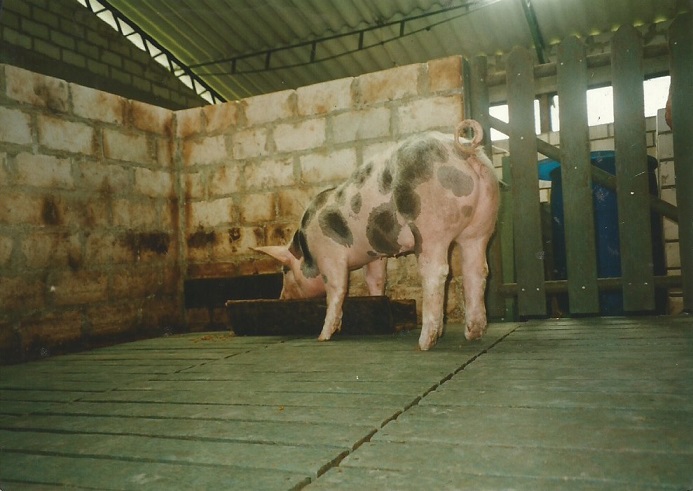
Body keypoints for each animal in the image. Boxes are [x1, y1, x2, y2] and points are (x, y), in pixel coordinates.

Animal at [254, 118, 498, 350]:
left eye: (285, 270)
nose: (281, 297)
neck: (307, 248)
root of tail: (463, 149)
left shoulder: (330, 256)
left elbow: (336, 290)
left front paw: (322, 337)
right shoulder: (374, 256)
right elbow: (376, 280)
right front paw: (377, 301)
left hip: (431, 226)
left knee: (436, 272)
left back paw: (424, 344)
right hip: (481, 225)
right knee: (477, 270)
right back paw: (473, 334)